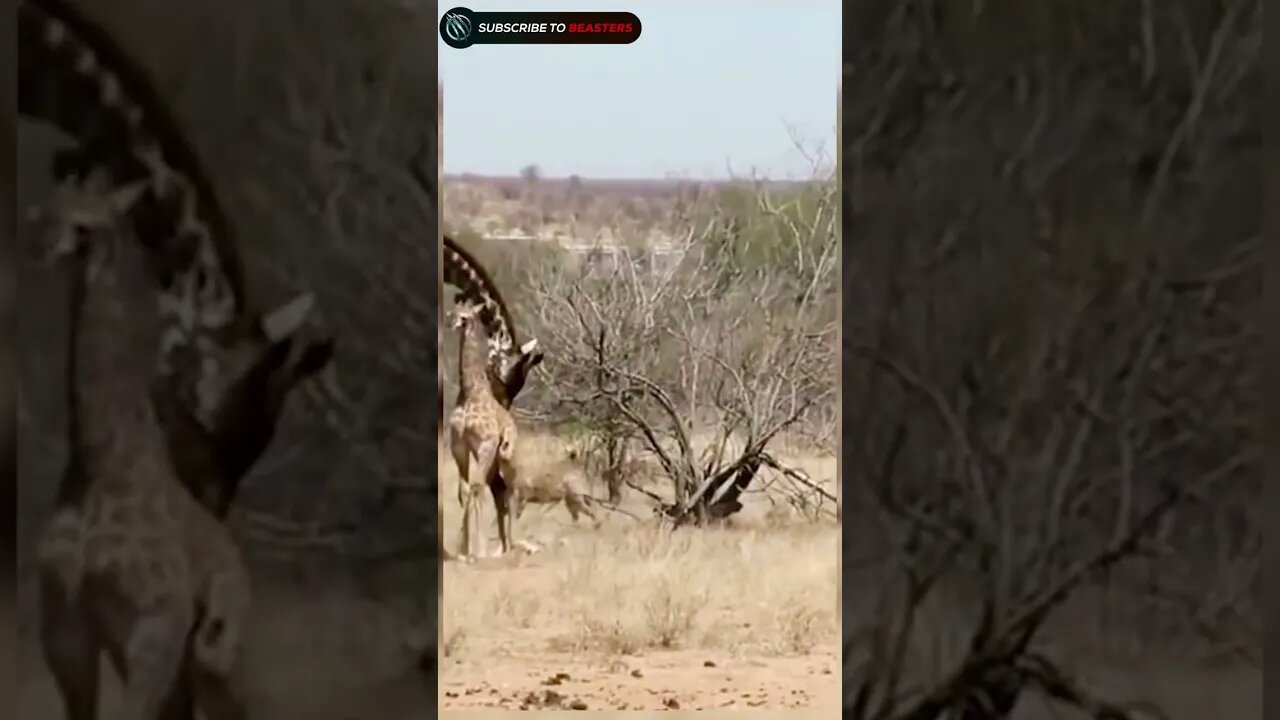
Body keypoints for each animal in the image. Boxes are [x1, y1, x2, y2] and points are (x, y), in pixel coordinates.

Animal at [34, 169, 249, 717]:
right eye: (48, 205)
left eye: (87, 225)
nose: (42, 244)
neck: (98, 460)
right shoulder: (65, 625)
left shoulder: (154, 629)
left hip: (207, 653)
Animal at [450, 299, 519, 558]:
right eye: (452, 313)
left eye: (467, 316)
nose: (453, 324)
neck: (470, 393)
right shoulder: (458, 446)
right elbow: (464, 490)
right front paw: (463, 549)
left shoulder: (486, 444)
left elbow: (476, 488)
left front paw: (476, 551)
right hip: (494, 465)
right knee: (500, 491)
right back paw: (503, 546)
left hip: (506, 457)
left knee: (512, 491)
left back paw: (512, 545)